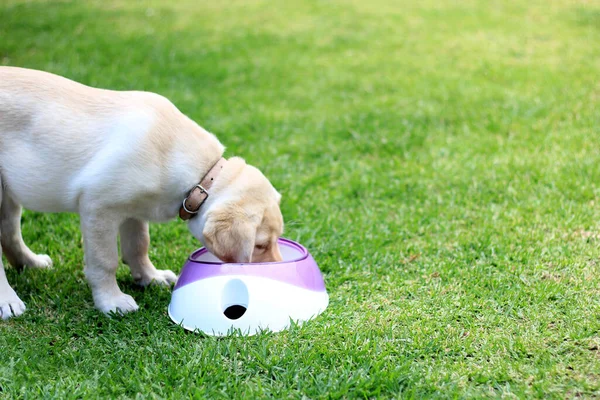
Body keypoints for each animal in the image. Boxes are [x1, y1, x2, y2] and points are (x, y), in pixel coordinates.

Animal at [0, 67, 284, 320]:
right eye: (259, 245)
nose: (276, 270)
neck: (202, 177)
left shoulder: (132, 211)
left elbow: (139, 245)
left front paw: (150, 277)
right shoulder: (97, 206)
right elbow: (105, 260)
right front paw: (111, 301)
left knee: (9, 232)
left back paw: (31, 263)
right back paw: (8, 302)